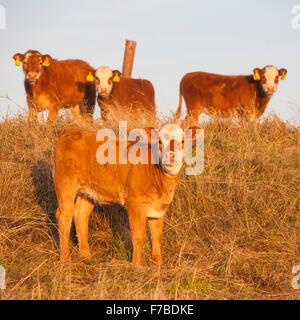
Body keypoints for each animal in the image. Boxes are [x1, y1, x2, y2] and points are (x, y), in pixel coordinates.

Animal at [53, 124, 199, 266]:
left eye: (183, 141)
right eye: (159, 141)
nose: (171, 155)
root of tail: (71, 130)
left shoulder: (159, 207)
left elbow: (156, 236)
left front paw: (157, 264)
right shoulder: (135, 203)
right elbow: (139, 236)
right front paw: (137, 266)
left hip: (87, 191)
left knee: (80, 215)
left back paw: (86, 256)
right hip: (65, 184)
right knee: (65, 217)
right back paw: (65, 259)